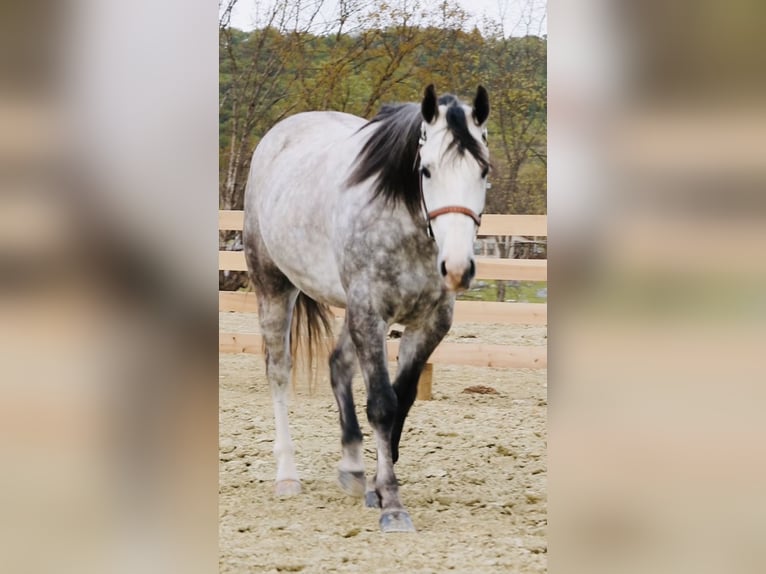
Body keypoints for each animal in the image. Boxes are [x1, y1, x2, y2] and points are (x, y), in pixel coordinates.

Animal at [243, 84, 490, 533]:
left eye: (482, 171)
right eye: (426, 170)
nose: (457, 268)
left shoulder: (429, 324)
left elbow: (402, 401)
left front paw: (376, 485)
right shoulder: (371, 314)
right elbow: (382, 405)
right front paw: (391, 503)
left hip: (349, 308)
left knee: (339, 365)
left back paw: (353, 467)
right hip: (274, 287)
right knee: (279, 372)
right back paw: (287, 476)